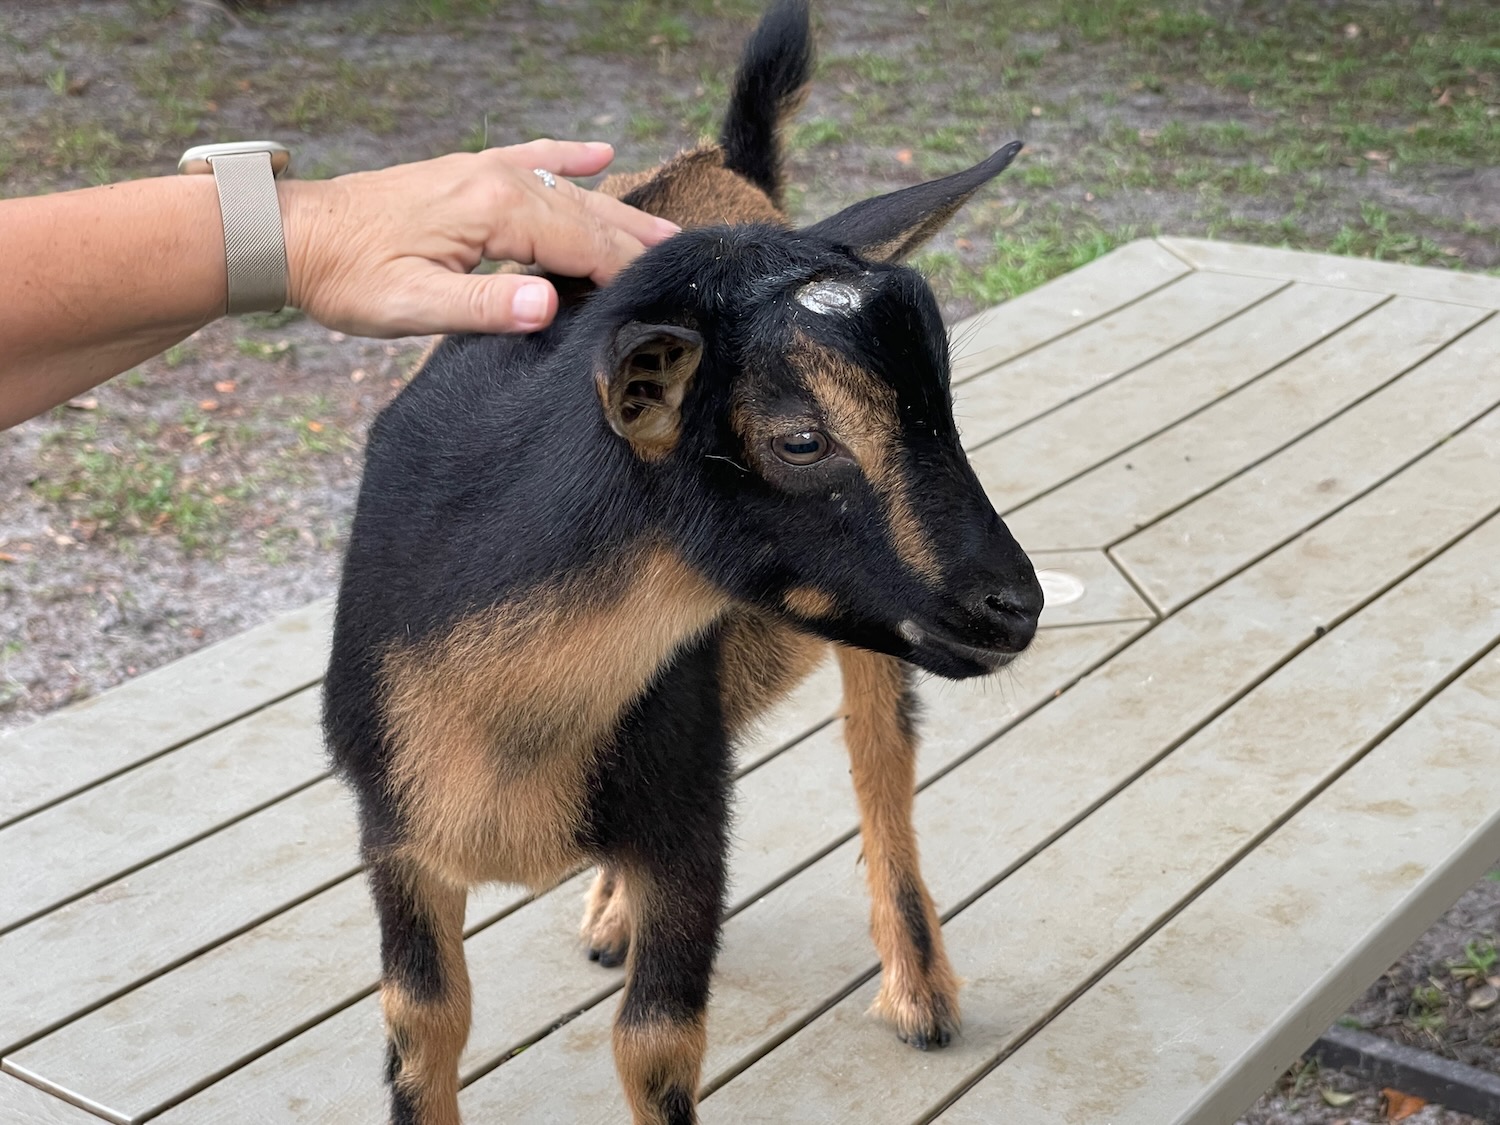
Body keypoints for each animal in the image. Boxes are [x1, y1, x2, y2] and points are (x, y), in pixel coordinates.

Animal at [323, 2, 1042, 1122]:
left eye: (950, 410)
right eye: (801, 439)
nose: (1015, 603)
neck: (507, 728)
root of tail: (731, 163)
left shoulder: (689, 824)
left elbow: (656, 1043)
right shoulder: (394, 836)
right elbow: (421, 1025)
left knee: (880, 756)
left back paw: (920, 992)